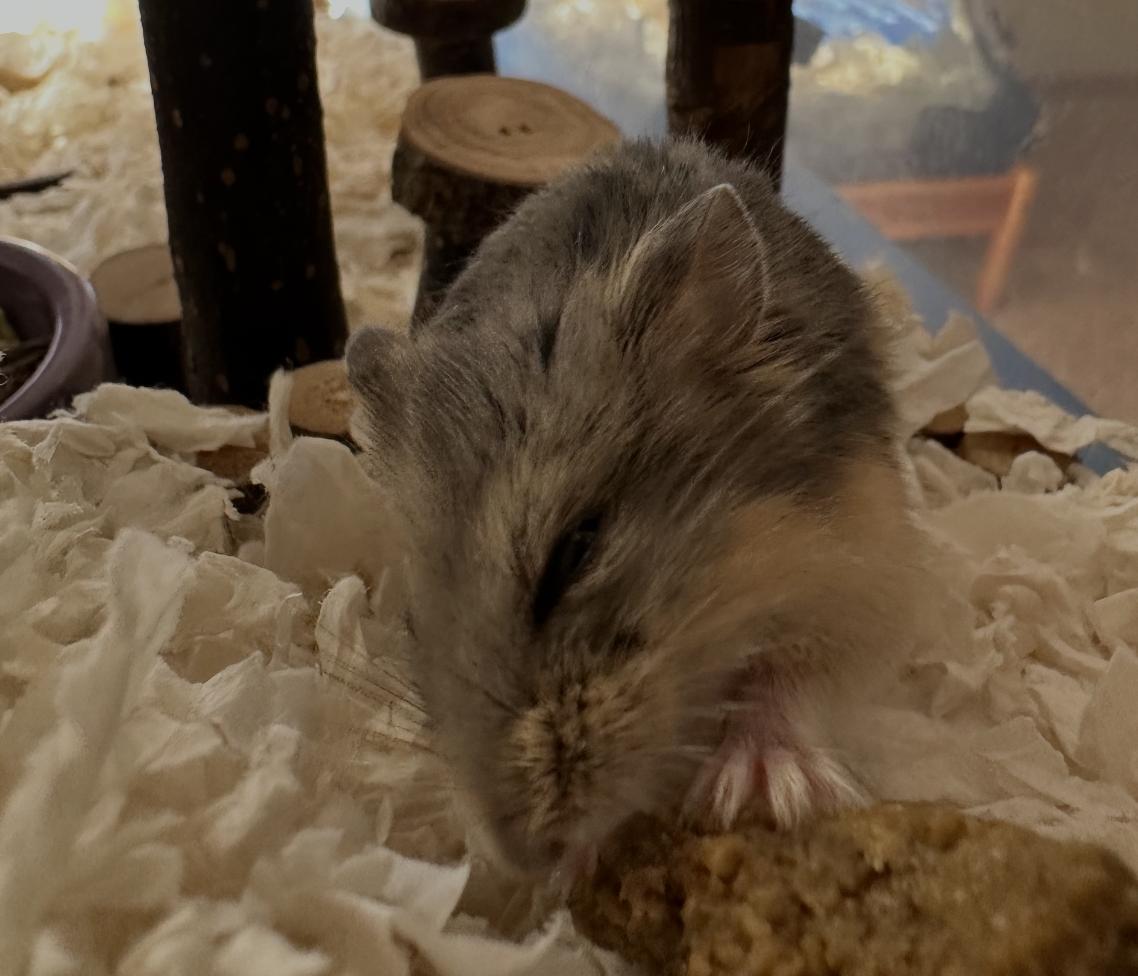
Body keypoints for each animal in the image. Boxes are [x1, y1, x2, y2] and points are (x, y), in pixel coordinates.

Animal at [347, 137, 923, 879]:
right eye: (413, 621)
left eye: (577, 551)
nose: (524, 858)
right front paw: (578, 866)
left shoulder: (862, 575)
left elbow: (786, 679)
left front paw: (762, 789)